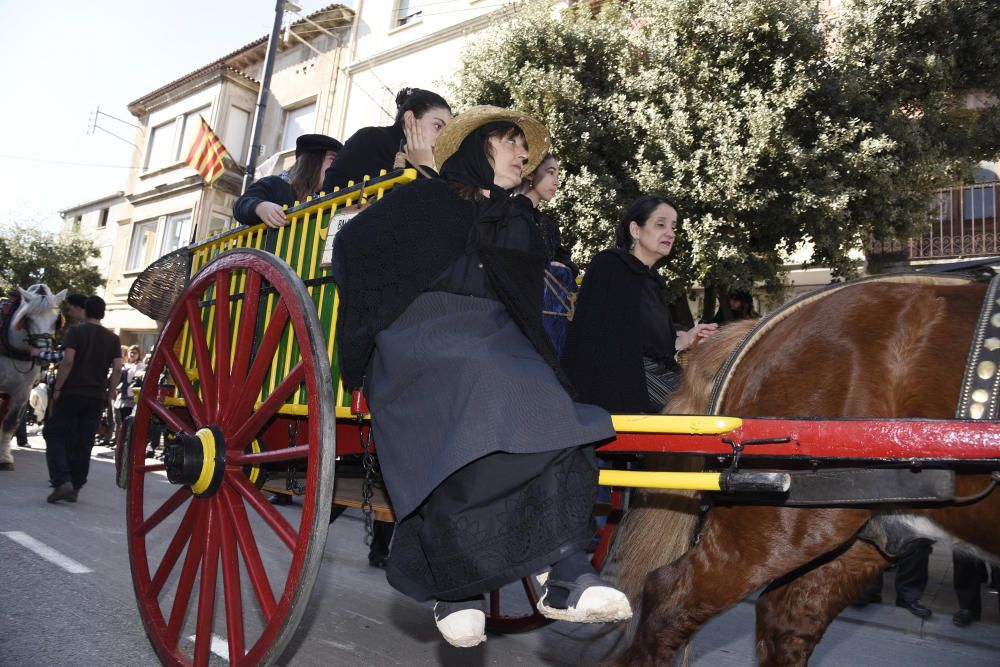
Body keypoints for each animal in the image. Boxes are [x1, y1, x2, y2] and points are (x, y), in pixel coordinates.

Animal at [0, 286, 66, 470]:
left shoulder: (22, 393)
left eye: (56, 320)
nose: (44, 355)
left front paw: (4, 458)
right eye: (28, 319)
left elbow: (10, 422)